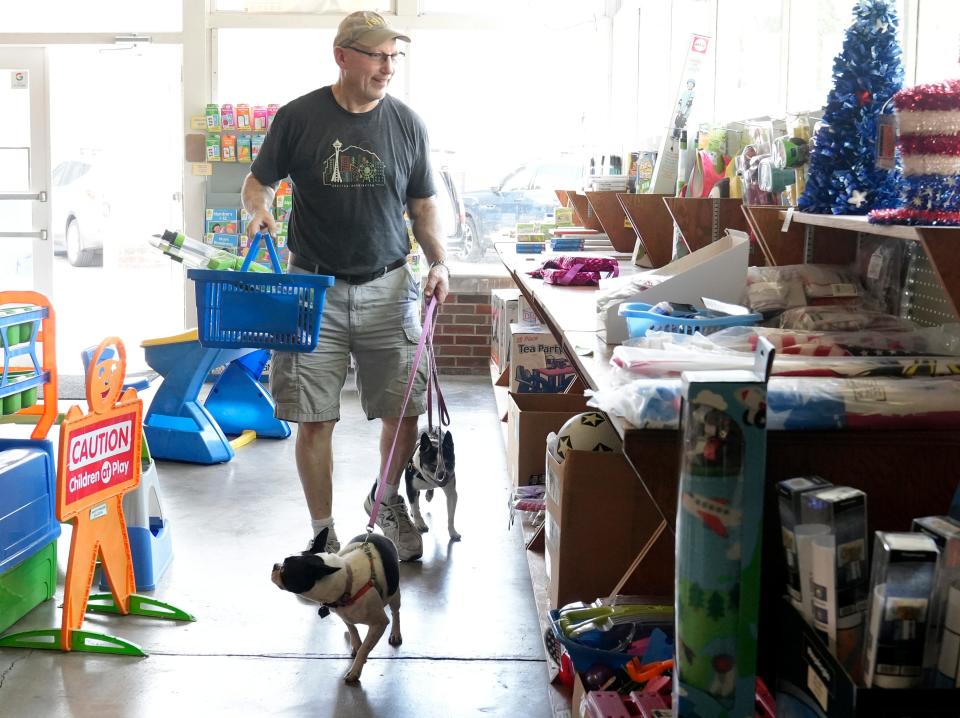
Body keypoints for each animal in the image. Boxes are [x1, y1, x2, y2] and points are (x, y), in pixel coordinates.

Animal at [270, 532, 402, 684]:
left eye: (285, 569)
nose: (275, 565)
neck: (348, 583)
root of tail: (375, 533)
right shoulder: (342, 612)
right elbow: (352, 629)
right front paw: (356, 644)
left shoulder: (379, 624)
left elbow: (365, 648)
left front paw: (355, 671)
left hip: (394, 595)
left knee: (395, 612)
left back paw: (396, 633)